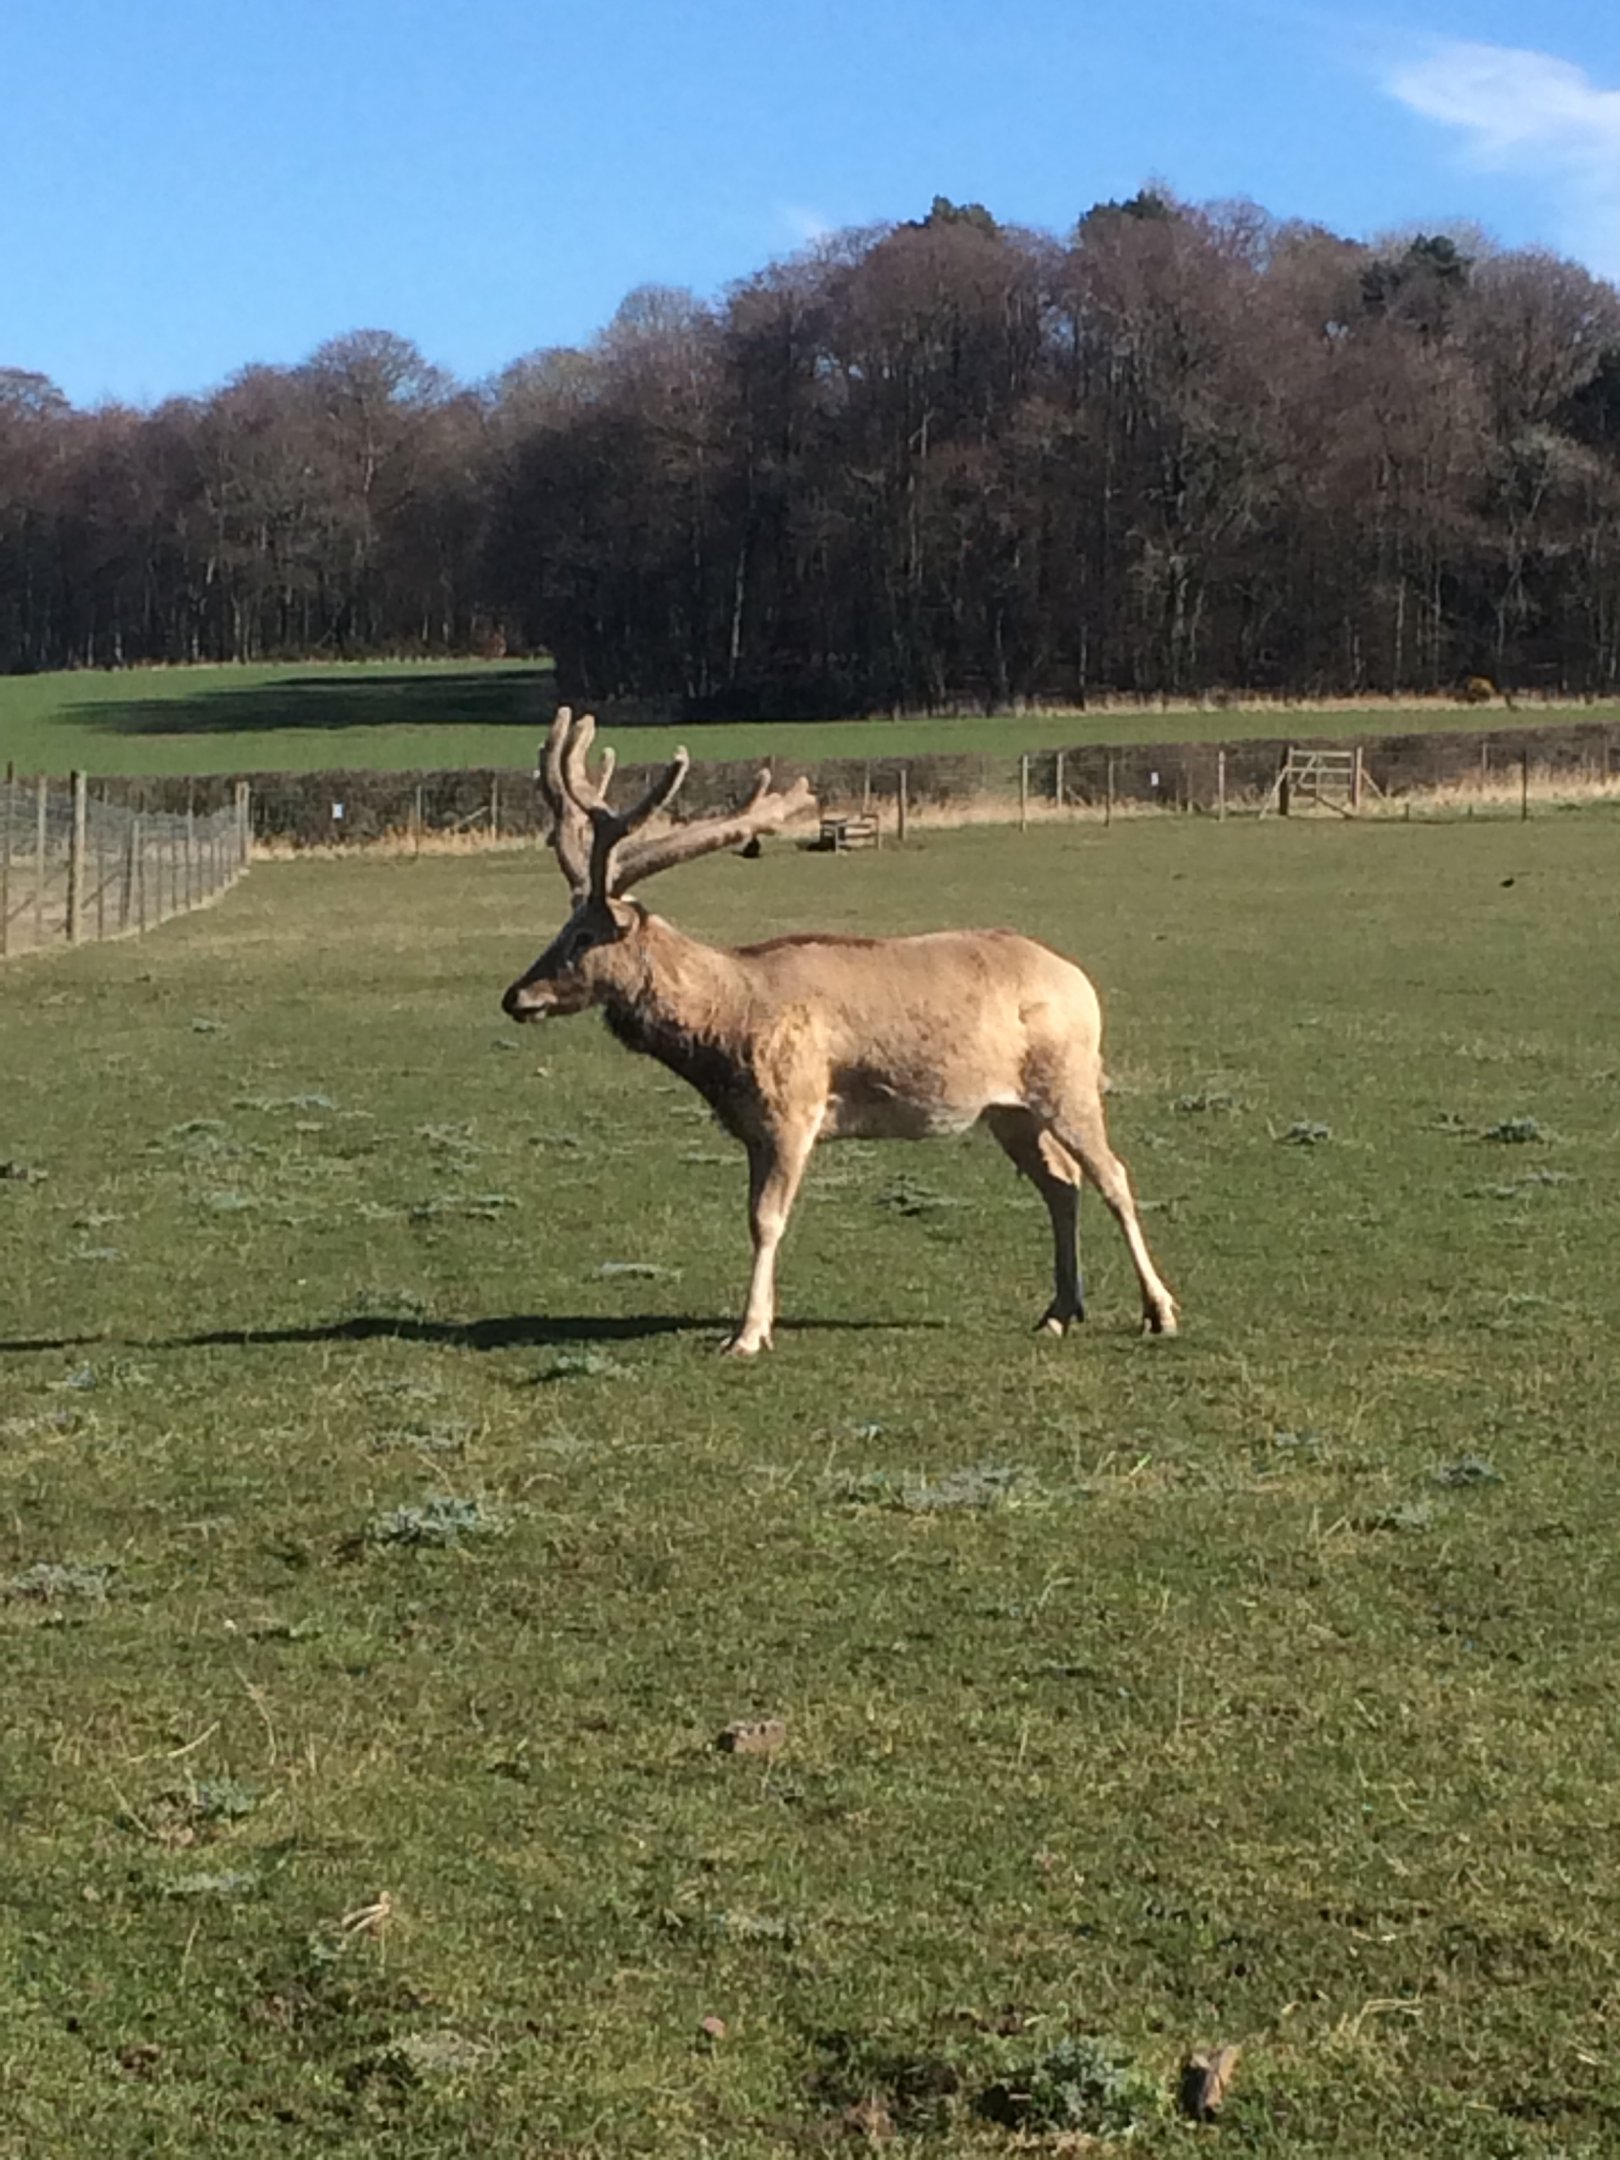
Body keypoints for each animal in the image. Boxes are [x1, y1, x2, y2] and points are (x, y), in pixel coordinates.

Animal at [501, 707, 1179, 1356]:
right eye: (559, 927)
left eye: (583, 936)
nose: (516, 996)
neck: (728, 1024)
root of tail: (1080, 983)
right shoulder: (754, 1127)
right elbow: (753, 1216)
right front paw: (755, 1323)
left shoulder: (794, 1107)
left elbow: (767, 1220)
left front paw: (747, 1334)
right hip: (1007, 1108)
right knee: (1061, 1183)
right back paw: (1059, 1312)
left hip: (1067, 1079)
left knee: (1114, 1176)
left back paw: (1160, 1312)